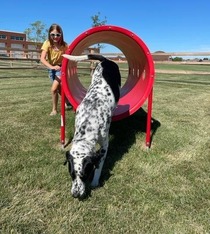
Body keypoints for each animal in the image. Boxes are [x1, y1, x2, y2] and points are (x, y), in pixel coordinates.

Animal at [62, 54, 121, 198]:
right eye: (71, 174)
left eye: (85, 174)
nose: (76, 195)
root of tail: (106, 60)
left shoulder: (104, 145)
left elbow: (99, 166)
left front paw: (95, 181)